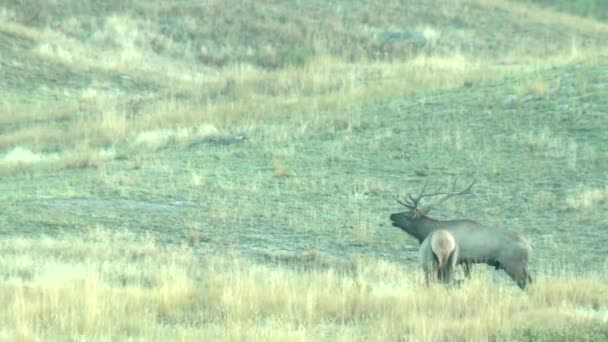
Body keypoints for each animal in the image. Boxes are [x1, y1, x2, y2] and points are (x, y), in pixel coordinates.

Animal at [390, 180, 532, 290]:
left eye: (406, 214)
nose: (391, 215)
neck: (428, 230)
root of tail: (529, 246)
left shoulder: (459, 260)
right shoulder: (467, 262)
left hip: (514, 265)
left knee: (525, 284)